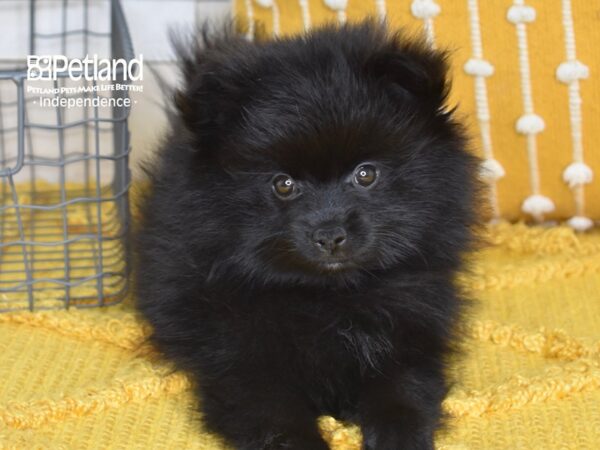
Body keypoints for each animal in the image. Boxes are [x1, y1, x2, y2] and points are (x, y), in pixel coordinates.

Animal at [135, 20, 478, 450]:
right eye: (283, 184)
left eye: (366, 174)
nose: (329, 234)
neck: (328, 297)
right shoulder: (241, 359)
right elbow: (277, 419)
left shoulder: (411, 328)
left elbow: (405, 390)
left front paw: (400, 435)